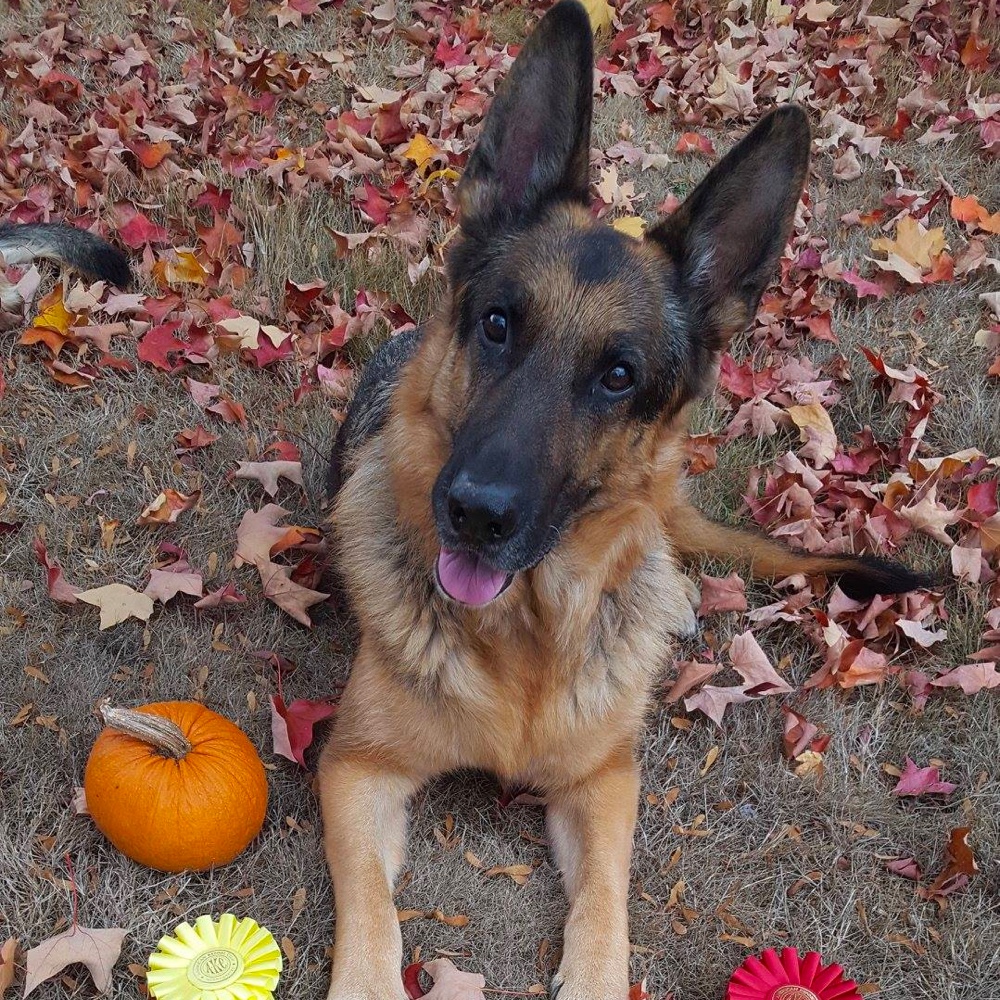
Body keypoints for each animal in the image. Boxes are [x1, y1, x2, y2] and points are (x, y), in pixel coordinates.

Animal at [320, 1, 920, 1000]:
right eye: (496, 325)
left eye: (617, 377)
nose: (475, 513)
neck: (524, 642)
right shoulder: (356, 768)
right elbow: (372, 912)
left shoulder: (603, 785)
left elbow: (605, 907)